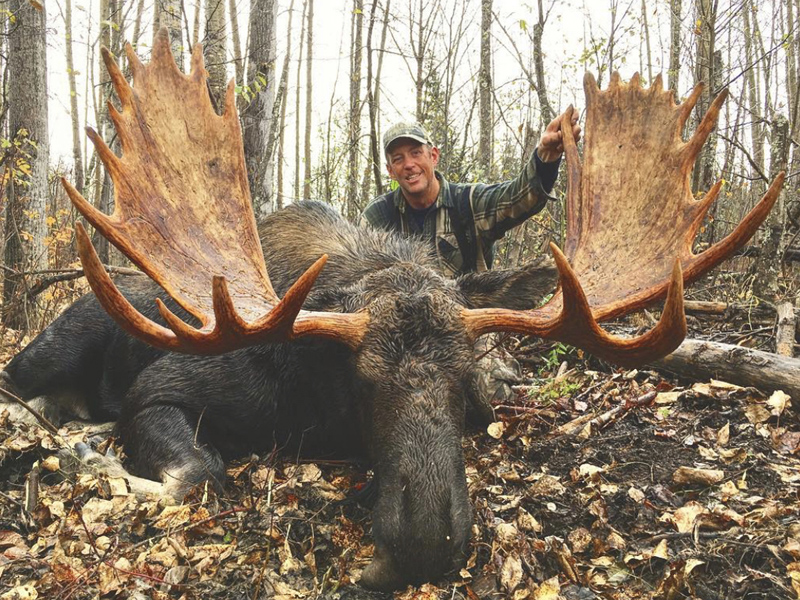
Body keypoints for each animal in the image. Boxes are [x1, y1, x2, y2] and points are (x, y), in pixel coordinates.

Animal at [1, 30, 784, 590]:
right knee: (18, 387)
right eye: (363, 382)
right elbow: (199, 475)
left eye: (462, 383)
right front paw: (82, 456)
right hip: (58, 340)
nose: (424, 546)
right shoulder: (160, 388)